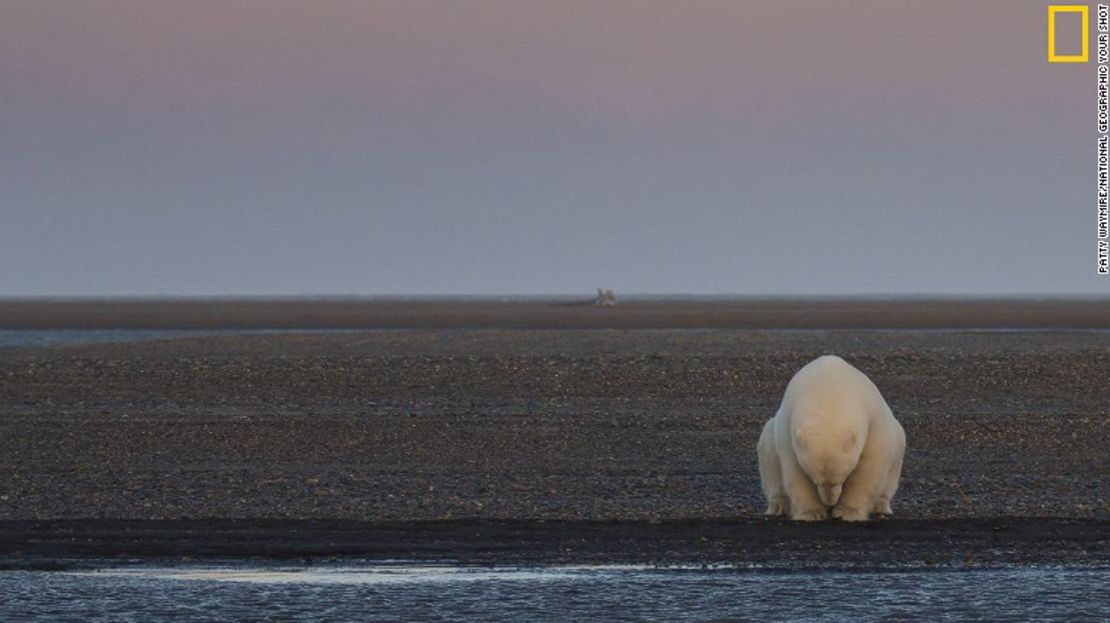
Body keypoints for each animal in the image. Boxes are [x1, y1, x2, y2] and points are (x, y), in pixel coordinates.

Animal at [759, 355, 905, 519]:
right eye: (815, 481)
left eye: (841, 479)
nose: (829, 503)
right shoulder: (787, 427)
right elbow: (794, 470)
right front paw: (812, 513)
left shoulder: (873, 419)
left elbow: (869, 467)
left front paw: (847, 512)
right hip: (770, 436)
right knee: (769, 456)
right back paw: (778, 506)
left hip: (898, 440)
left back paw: (881, 506)